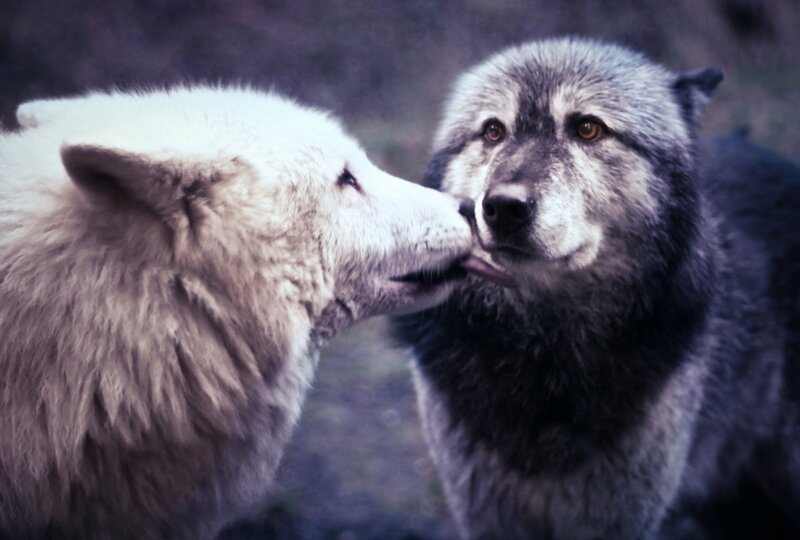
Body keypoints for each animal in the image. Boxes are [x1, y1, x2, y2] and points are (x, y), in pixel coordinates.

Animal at [394, 38, 800, 539]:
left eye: (588, 129)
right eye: (492, 132)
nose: (503, 207)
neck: (546, 360)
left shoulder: (621, 514)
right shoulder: (485, 511)